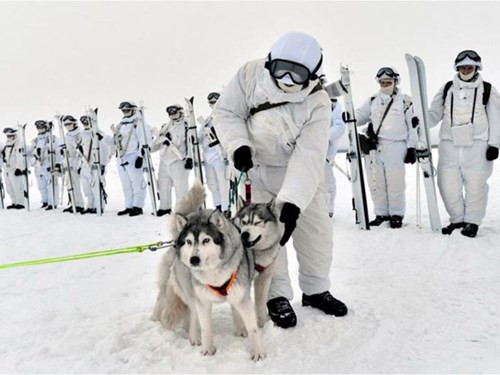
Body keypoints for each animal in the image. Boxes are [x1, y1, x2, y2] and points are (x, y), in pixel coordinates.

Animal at [151, 181, 266, 362]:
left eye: (206, 240)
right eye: (189, 242)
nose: (193, 259)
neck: (214, 274)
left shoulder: (242, 297)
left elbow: (253, 328)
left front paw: (258, 353)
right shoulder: (202, 301)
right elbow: (205, 327)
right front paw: (207, 349)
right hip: (189, 292)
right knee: (192, 314)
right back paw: (193, 335)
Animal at [233, 198, 284, 330]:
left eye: (257, 222)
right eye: (244, 222)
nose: (244, 234)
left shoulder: (264, 278)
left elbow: (260, 303)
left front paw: (263, 324)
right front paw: (241, 330)